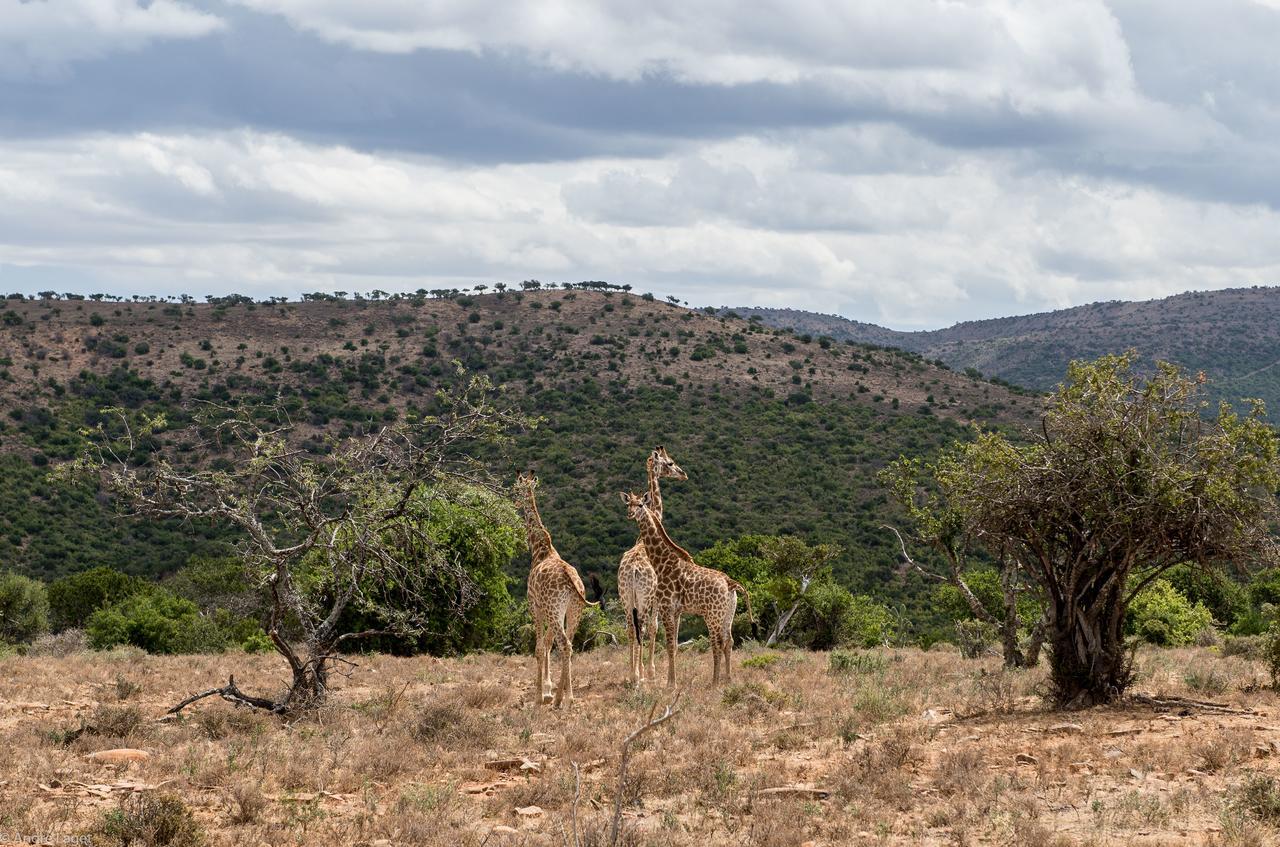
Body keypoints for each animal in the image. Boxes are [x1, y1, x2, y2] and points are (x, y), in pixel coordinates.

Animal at [512, 470, 596, 711]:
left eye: (515, 488)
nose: (515, 501)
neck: (540, 549)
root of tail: (571, 581)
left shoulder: (535, 606)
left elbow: (539, 648)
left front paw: (540, 696)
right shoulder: (550, 611)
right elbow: (547, 644)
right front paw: (548, 691)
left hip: (553, 608)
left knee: (564, 644)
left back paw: (561, 699)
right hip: (574, 610)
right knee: (569, 644)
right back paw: (565, 697)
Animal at [614, 447, 686, 685]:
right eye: (670, 463)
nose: (683, 474)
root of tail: (633, 571)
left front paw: (642, 670)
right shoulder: (655, 598)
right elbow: (654, 628)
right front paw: (651, 671)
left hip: (626, 597)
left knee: (630, 628)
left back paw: (631, 673)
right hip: (643, 598)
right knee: (642, 627)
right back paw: (639, 675)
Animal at [619, 493, 747, 685]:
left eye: (641, 504)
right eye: (628, 504)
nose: (630, 513)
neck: (662, 562)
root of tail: (730, 583)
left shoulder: (666, 607)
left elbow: (669, 644)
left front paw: (670, 683)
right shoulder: (675, 609)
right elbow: (673, 644)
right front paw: (671, 680)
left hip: (712, 615)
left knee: (716, 643)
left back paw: (714, 682)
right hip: (727, 614)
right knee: (728, 641)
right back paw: (728, 680)